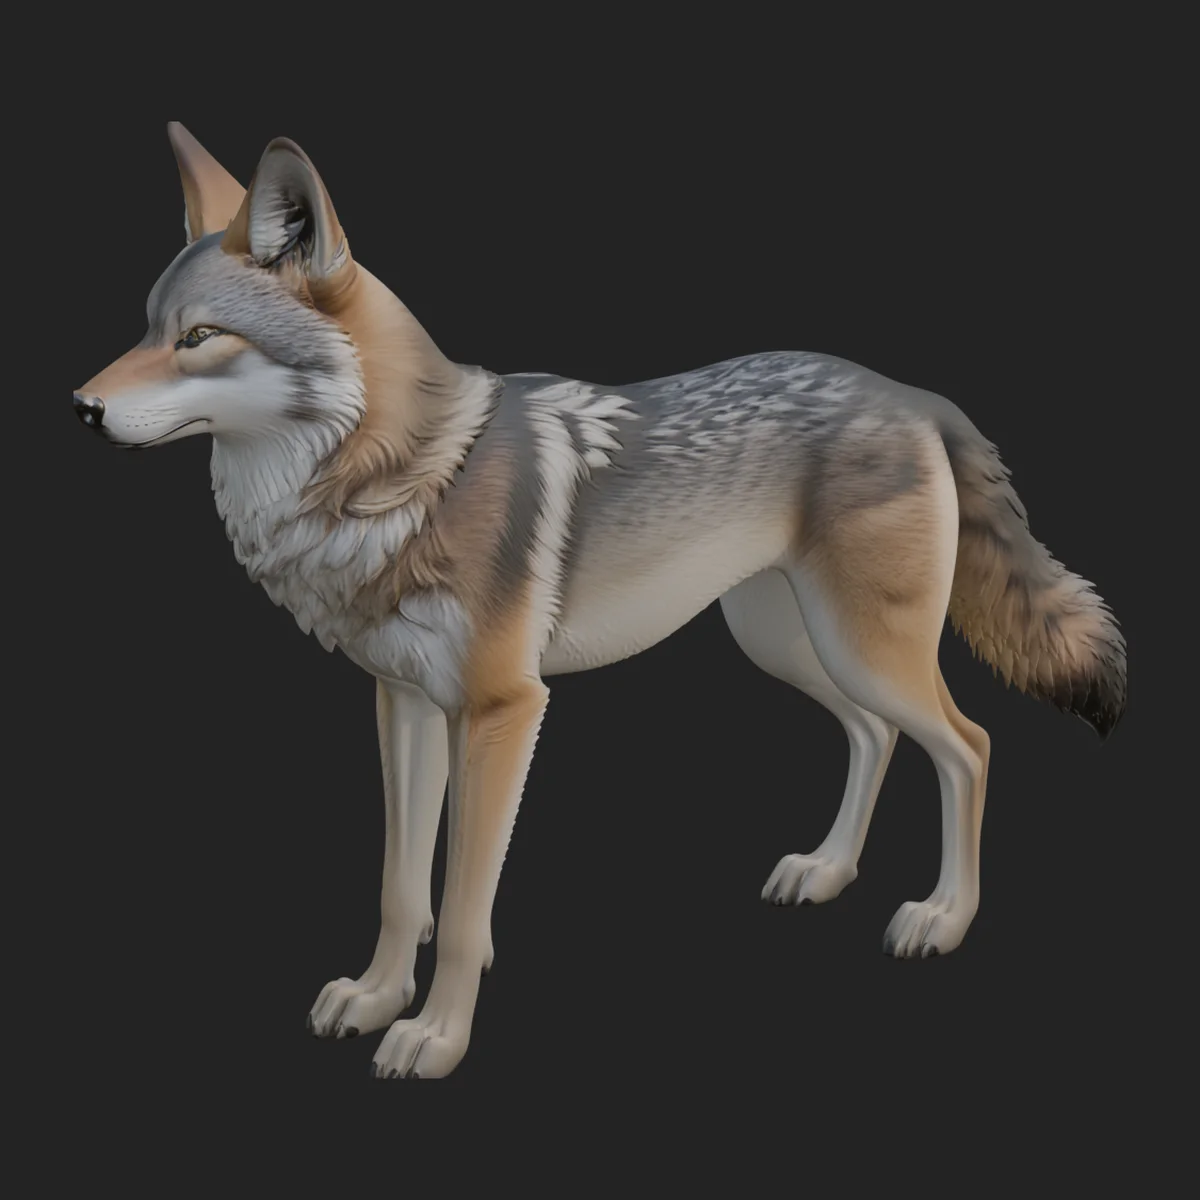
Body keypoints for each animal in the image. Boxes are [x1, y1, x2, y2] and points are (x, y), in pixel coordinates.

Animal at [74, 124, 1126, 1079]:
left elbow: (463, 907)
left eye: (199, 340)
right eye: (146, 331)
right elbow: (402, 890)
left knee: (969, 745)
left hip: (862, 651)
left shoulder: (504, 711)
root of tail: (912, 393)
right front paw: (375, 998)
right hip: (792, 647)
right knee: (876, 737)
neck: (407, 480)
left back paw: (943, 917)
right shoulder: (404, 704)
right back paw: (825, 872)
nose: (80, 407)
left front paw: (435, 1037)